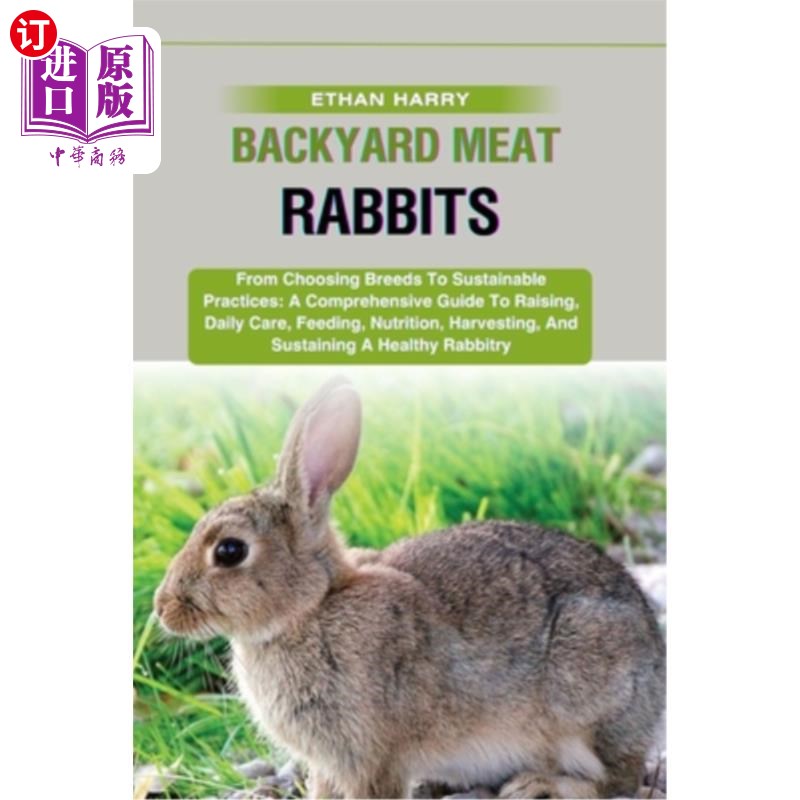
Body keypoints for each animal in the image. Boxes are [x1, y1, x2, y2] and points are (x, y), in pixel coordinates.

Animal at [155, 378, 665, 799]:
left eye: (229, 551)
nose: (162, 608)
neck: (312, 608)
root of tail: (657, 672)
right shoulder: (330, 762)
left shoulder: (371, 755)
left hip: (589, 696)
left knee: (616, 781)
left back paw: (536, 785)